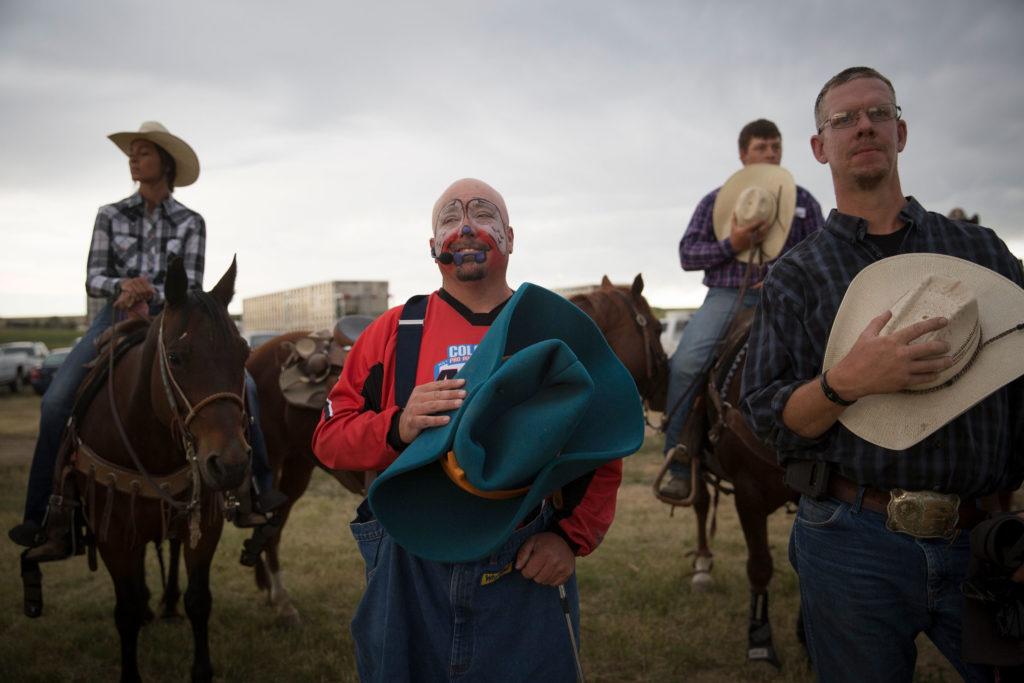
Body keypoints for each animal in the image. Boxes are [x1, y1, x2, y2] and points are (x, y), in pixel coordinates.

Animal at [54, 259, 251, 679]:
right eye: (176, 357)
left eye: (243, 353)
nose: (230, 464)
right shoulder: (112, 534)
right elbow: (125, 611)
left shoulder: (204, 524)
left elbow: (199, 600)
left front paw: (201, 670)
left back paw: (167, 602)